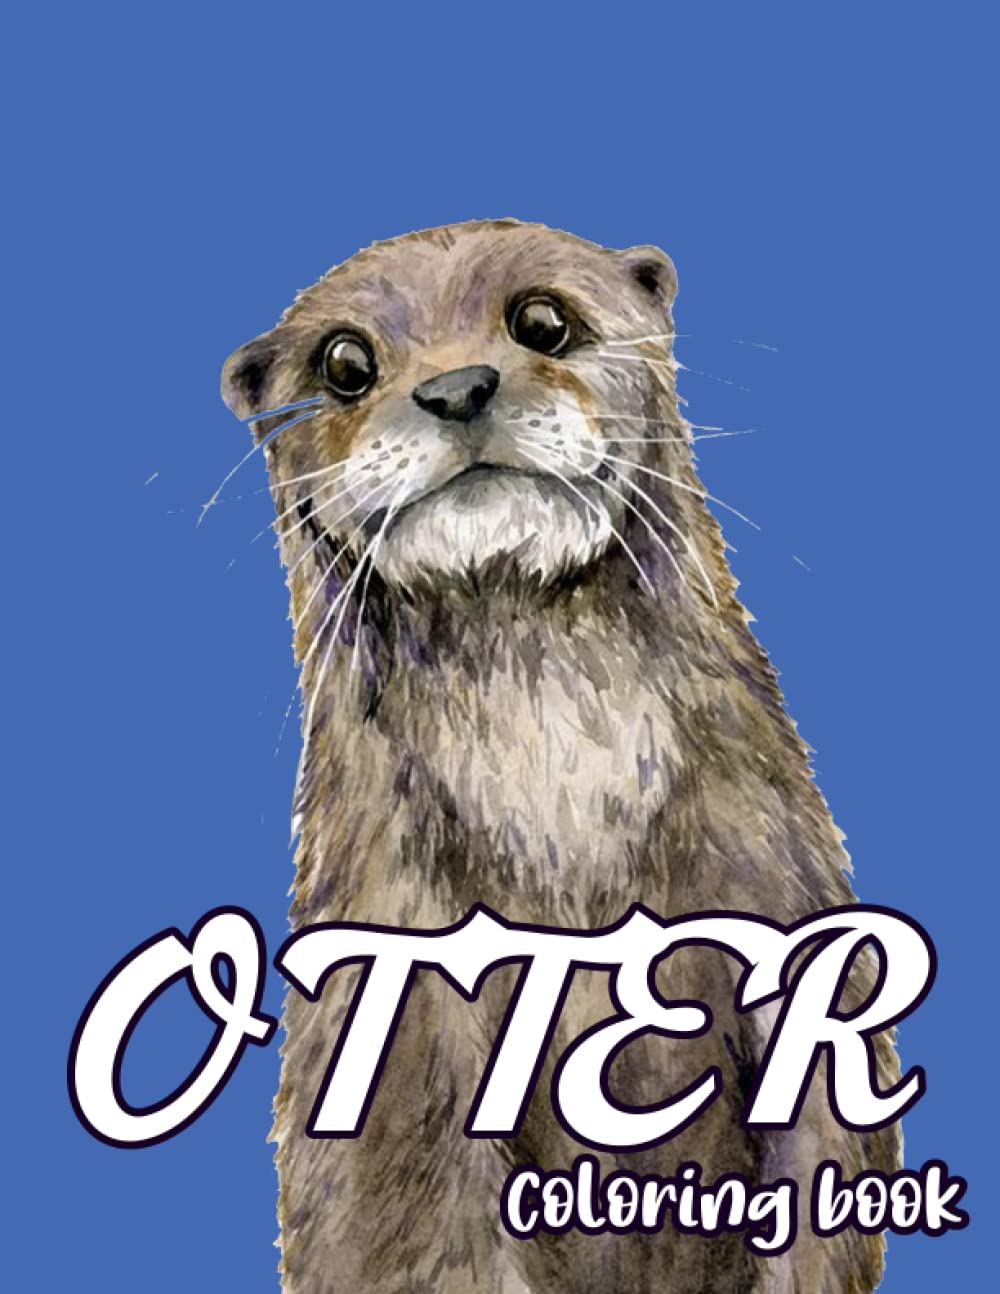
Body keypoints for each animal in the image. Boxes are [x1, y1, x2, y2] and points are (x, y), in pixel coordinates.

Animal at [220, 220, 900, 1294]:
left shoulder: (793, 920)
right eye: (343, 363)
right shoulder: (400, 1042)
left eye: (542, 318)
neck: (565, 837)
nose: (457, 388)